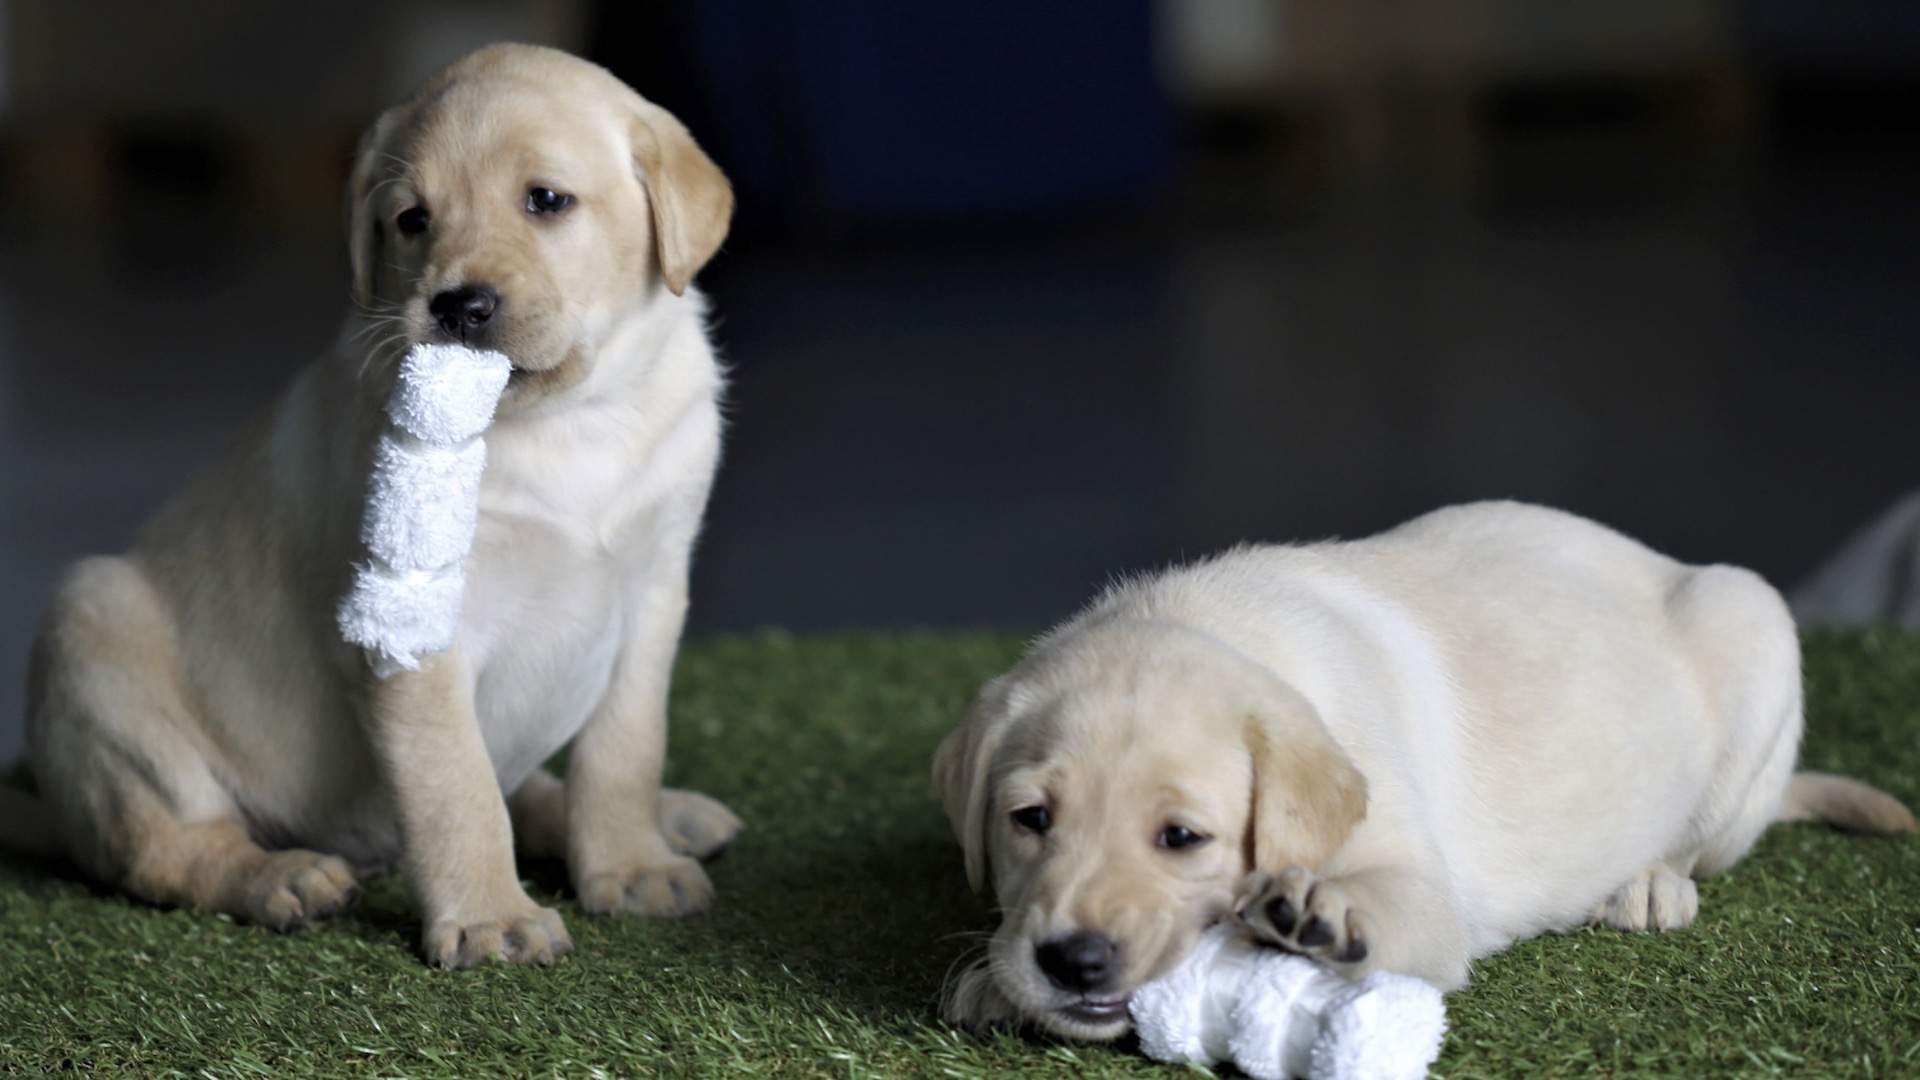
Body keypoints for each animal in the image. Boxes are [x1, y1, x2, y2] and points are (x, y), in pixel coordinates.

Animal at [7, 44, 741, 968]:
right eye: (412, 220)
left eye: (546, 200)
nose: (457, 306)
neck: (570, 422)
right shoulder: (411, 621)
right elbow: (454, 783)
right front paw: (492, 916)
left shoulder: (652, 592)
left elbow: (624, 748)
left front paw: (632, 864)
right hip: (97, 642)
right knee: (168, 848)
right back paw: (282, 877)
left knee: (529, 785)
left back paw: (667, 818)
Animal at [936, 499, 1912, 1037]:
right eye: (1030, 821)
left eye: (1181, 837)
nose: (1073, 962)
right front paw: (995, 978)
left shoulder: (1428, 898)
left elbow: (1401, 904)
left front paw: (1324, 908)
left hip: (1756, 632)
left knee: (1700, 847)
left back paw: (1648, 885)